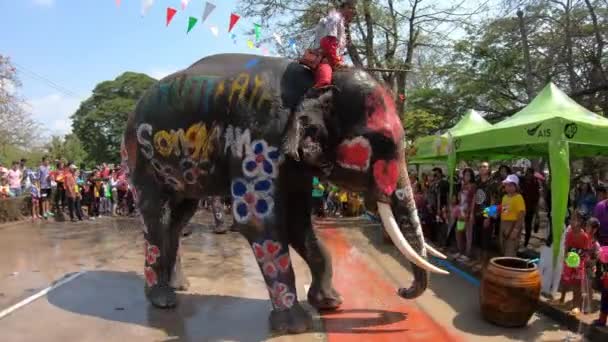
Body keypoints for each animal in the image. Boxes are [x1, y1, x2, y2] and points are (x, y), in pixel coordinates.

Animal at [121, 53, 448, 334]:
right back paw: (163, 298)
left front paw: (330, 303)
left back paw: (180, 285)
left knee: (178, 218)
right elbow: (257, 221)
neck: (311, 83)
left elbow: (298, 222)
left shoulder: (295, 165)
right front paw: (295, 325)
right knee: (156, 215)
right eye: (382, 141)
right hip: (139, 157)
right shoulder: (256, 137)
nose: (401, 290)